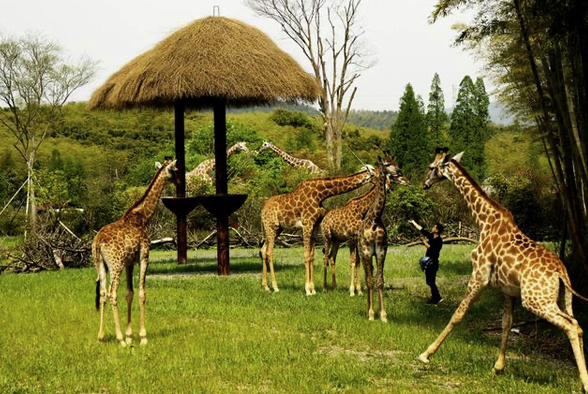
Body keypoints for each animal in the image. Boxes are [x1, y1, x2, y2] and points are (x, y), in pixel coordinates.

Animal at [90, 159, 179, 346]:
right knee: (112, 293)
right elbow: (142, 293)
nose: (180, 182)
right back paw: (120, 339)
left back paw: (101, 336)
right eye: (175, 170)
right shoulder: (144, 255)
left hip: (100, 264)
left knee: (102, 293)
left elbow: (129, 293)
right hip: (116, 265)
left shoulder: (130, 262)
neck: (143, 216)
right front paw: (142, 337)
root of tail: (98, 242)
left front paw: (130, 335)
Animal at [260, 163, 378, 296]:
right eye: (374, 172)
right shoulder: (307, 223)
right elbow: (306, 255)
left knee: (263, 250)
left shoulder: (315, 226)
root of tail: (262, 210)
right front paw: (307, 290)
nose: (380, 179)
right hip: (271, 226)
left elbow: (312, 255)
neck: (321, 194)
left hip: (276, 229)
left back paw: (266, 287)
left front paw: (313, 290)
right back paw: (275, 287)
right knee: (269, 252)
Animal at [322, 154, 408, 296]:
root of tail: (324, 219)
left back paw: (334, 287)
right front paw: (352, 291)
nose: (406, 179)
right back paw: (325, 288)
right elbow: (352, 261)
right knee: (325, 258)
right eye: (391, 174)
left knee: (332, 257)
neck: (362, 211)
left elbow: (357, 261)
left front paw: (359, 290)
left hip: (337, 240)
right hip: (327, 237)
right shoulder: (352, 238)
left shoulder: (358, 238)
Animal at [418, 147, 588, 390]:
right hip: (563, 299)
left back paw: (585, 384)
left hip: (536, 299)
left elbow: (457, 315)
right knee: (577, 324)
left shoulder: (478, 276)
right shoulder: (509, 290)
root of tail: (560, 272)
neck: (483, 221)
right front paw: (497, 368)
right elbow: (506, 323)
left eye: (432, 167)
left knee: (571, 326)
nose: (425, 183)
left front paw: (426, 354)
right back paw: (583, 381)